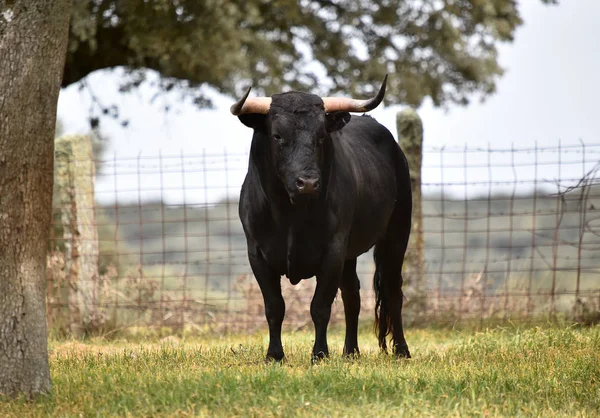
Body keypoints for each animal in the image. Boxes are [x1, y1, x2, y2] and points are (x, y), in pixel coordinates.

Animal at [232, 76, 410, 360]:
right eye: (277, 135)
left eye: (321, 136)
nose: (307, 183)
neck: (290, 215)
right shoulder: (257, 254)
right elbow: (274, 307)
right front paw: (274, 355)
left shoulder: (333, 251)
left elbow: (320, 307)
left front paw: (319, 354)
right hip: (351, 253)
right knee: (352, 295)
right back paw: (351, 352)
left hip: (397, 233)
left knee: (393, 290)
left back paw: (401, 351)